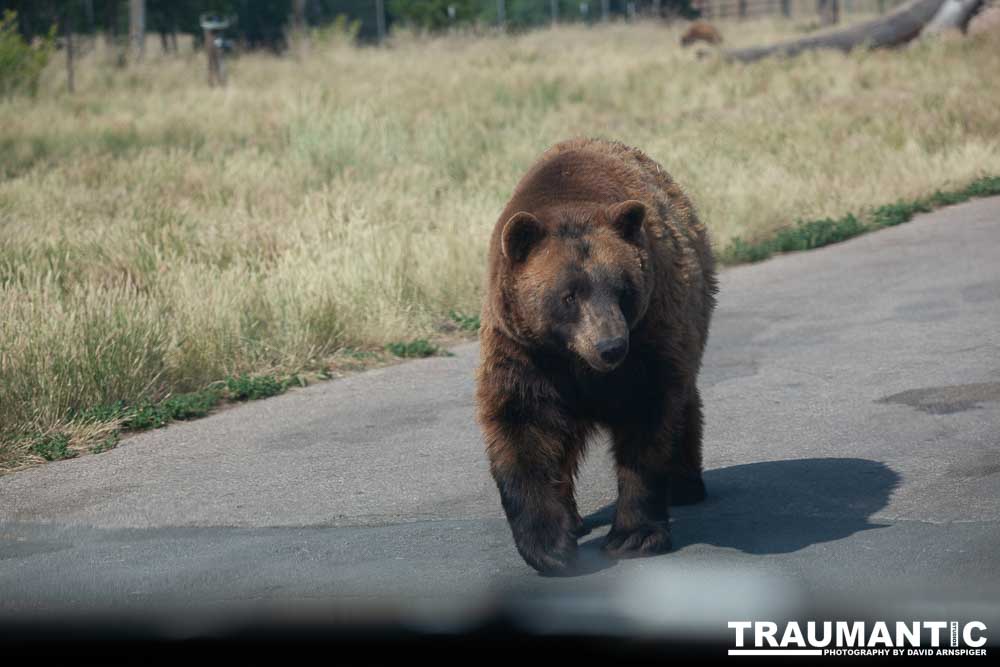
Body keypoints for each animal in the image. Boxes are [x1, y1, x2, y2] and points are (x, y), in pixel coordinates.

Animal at [478, 138, 720, 576]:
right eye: (568, 295)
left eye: (622, 289)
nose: (610, 346)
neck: (576, 360)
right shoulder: (525, 353)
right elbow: (521, 426)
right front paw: (551, 546)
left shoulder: (649, 338)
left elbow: (647, 425)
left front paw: (633, 536)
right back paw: (573, 517)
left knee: (683, 401)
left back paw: (686, 484)